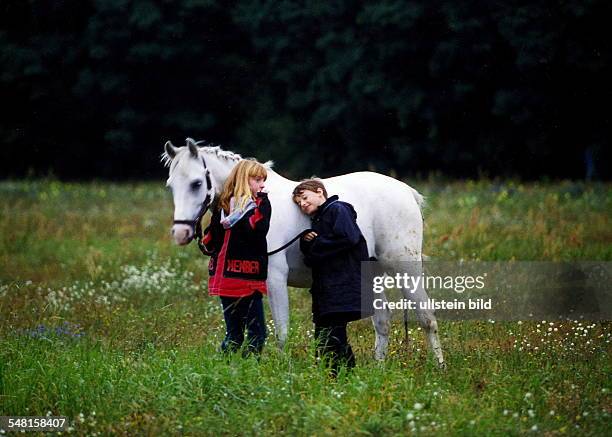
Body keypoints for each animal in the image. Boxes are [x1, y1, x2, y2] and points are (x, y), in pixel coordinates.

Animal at [163, 137, 444, 364]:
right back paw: (379, 368)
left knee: (427, 318)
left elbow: (281, 333)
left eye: (196, 183)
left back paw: (439, 369)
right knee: (383, 321)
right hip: (371, 275)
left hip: (405, 270)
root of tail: (406, 192)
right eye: (170, 186)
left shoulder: (275, 278)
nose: (180, 233)